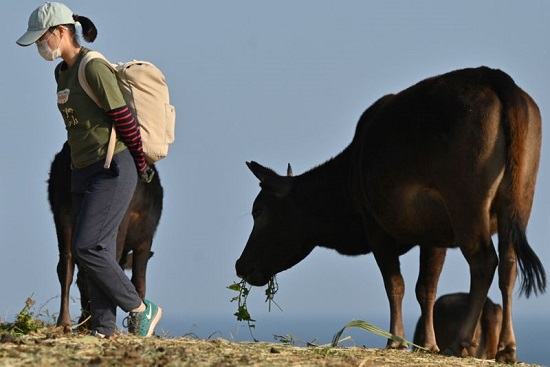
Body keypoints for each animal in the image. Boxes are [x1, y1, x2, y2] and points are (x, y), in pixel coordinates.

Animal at [48, 143, 164, 334]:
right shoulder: (145, 239)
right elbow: (139, 281)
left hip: (63, 211)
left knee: (67, 265)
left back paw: (65, 323)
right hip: (116, 218)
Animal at [237, 67, 548, 364]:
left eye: (258, 211)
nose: (240, 265)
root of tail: (496, 77)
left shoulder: (376, 226)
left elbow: (395, 284)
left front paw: (396, 341)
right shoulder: (433, 234)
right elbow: (426, 288)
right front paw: (427, 344)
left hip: (466, 202)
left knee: (484, 261)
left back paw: (461, 343)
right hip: (519, 198)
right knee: (509, 265)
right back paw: (507, 349)